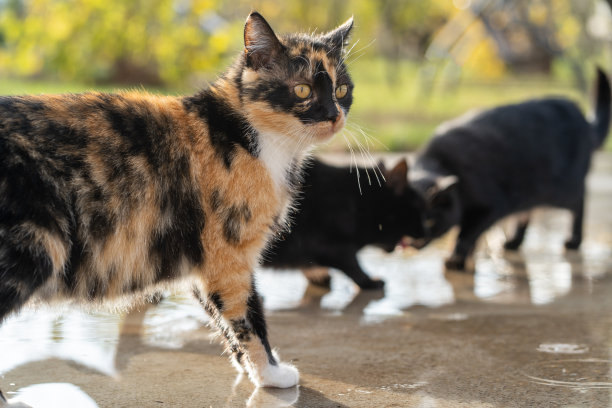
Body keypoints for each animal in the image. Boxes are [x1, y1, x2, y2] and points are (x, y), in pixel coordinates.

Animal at [0, 11, 354, 394]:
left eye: (342, 90)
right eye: (302, 89)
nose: (334, 115)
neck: (254, 138)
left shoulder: (206, 262)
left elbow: (222, 319)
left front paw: (248, 369)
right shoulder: (230, 257)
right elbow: (248, 318)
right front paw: (270, 375)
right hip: (34, 245)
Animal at [262, 158, 426, 288]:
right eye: (419, 206)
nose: (425, 232)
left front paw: (316, 274)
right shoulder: (332, 247)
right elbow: (354, 266)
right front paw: (369, 282)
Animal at [408, 67, 608, 270]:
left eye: (429, 221)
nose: (412, 243)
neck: (441, 161)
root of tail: (582, 119)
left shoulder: (493, 206)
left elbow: (467, 234)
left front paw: (456, 259)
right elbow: (468, 233)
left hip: (560, 190)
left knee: (579, 201)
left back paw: (574, 240)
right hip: (529, 192)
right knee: (526, 213)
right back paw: (513, 242)